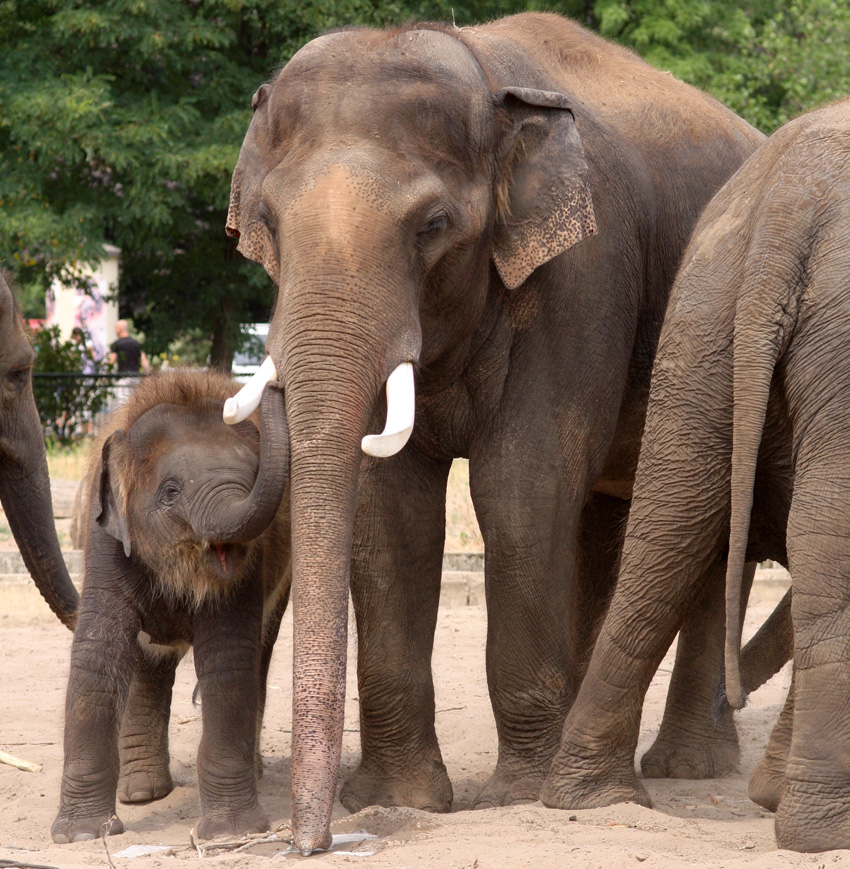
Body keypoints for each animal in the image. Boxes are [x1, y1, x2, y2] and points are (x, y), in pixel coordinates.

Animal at [54, 372, 292, 840]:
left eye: (253, 477)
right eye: (170, 492)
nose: (275, 383)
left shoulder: (250, 567)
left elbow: (228, 658)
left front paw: (231, 832)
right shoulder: (105, 541)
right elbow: (96, 652)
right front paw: (81, 834)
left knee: (257, 653)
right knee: (148, 660)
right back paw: (142, 794)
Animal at [222, 15, 760, 856]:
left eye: (433, 226)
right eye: (269, 226)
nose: (308, 844)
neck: (481, 70)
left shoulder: (583, 276)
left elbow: (520, 484)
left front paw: (518, 795)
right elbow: (392, 508)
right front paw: (401, 799)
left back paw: (687, 766)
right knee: (603, 519)